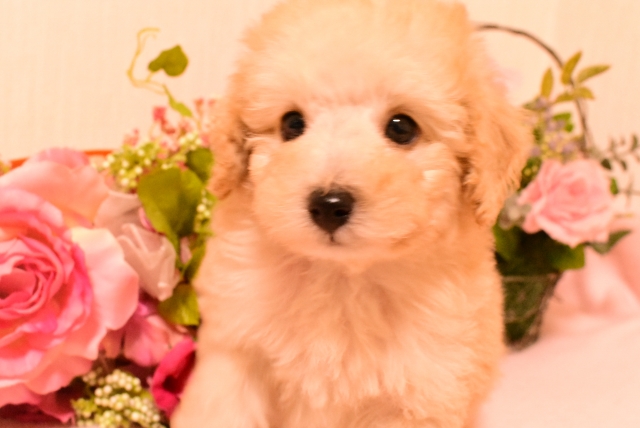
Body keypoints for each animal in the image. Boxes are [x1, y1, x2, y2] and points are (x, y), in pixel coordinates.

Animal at [172, 0, 529, 426]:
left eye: (402, 128)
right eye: (292, 124)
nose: (328, 206)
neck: (342, 277)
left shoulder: (420, 395)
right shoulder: (235, 357)